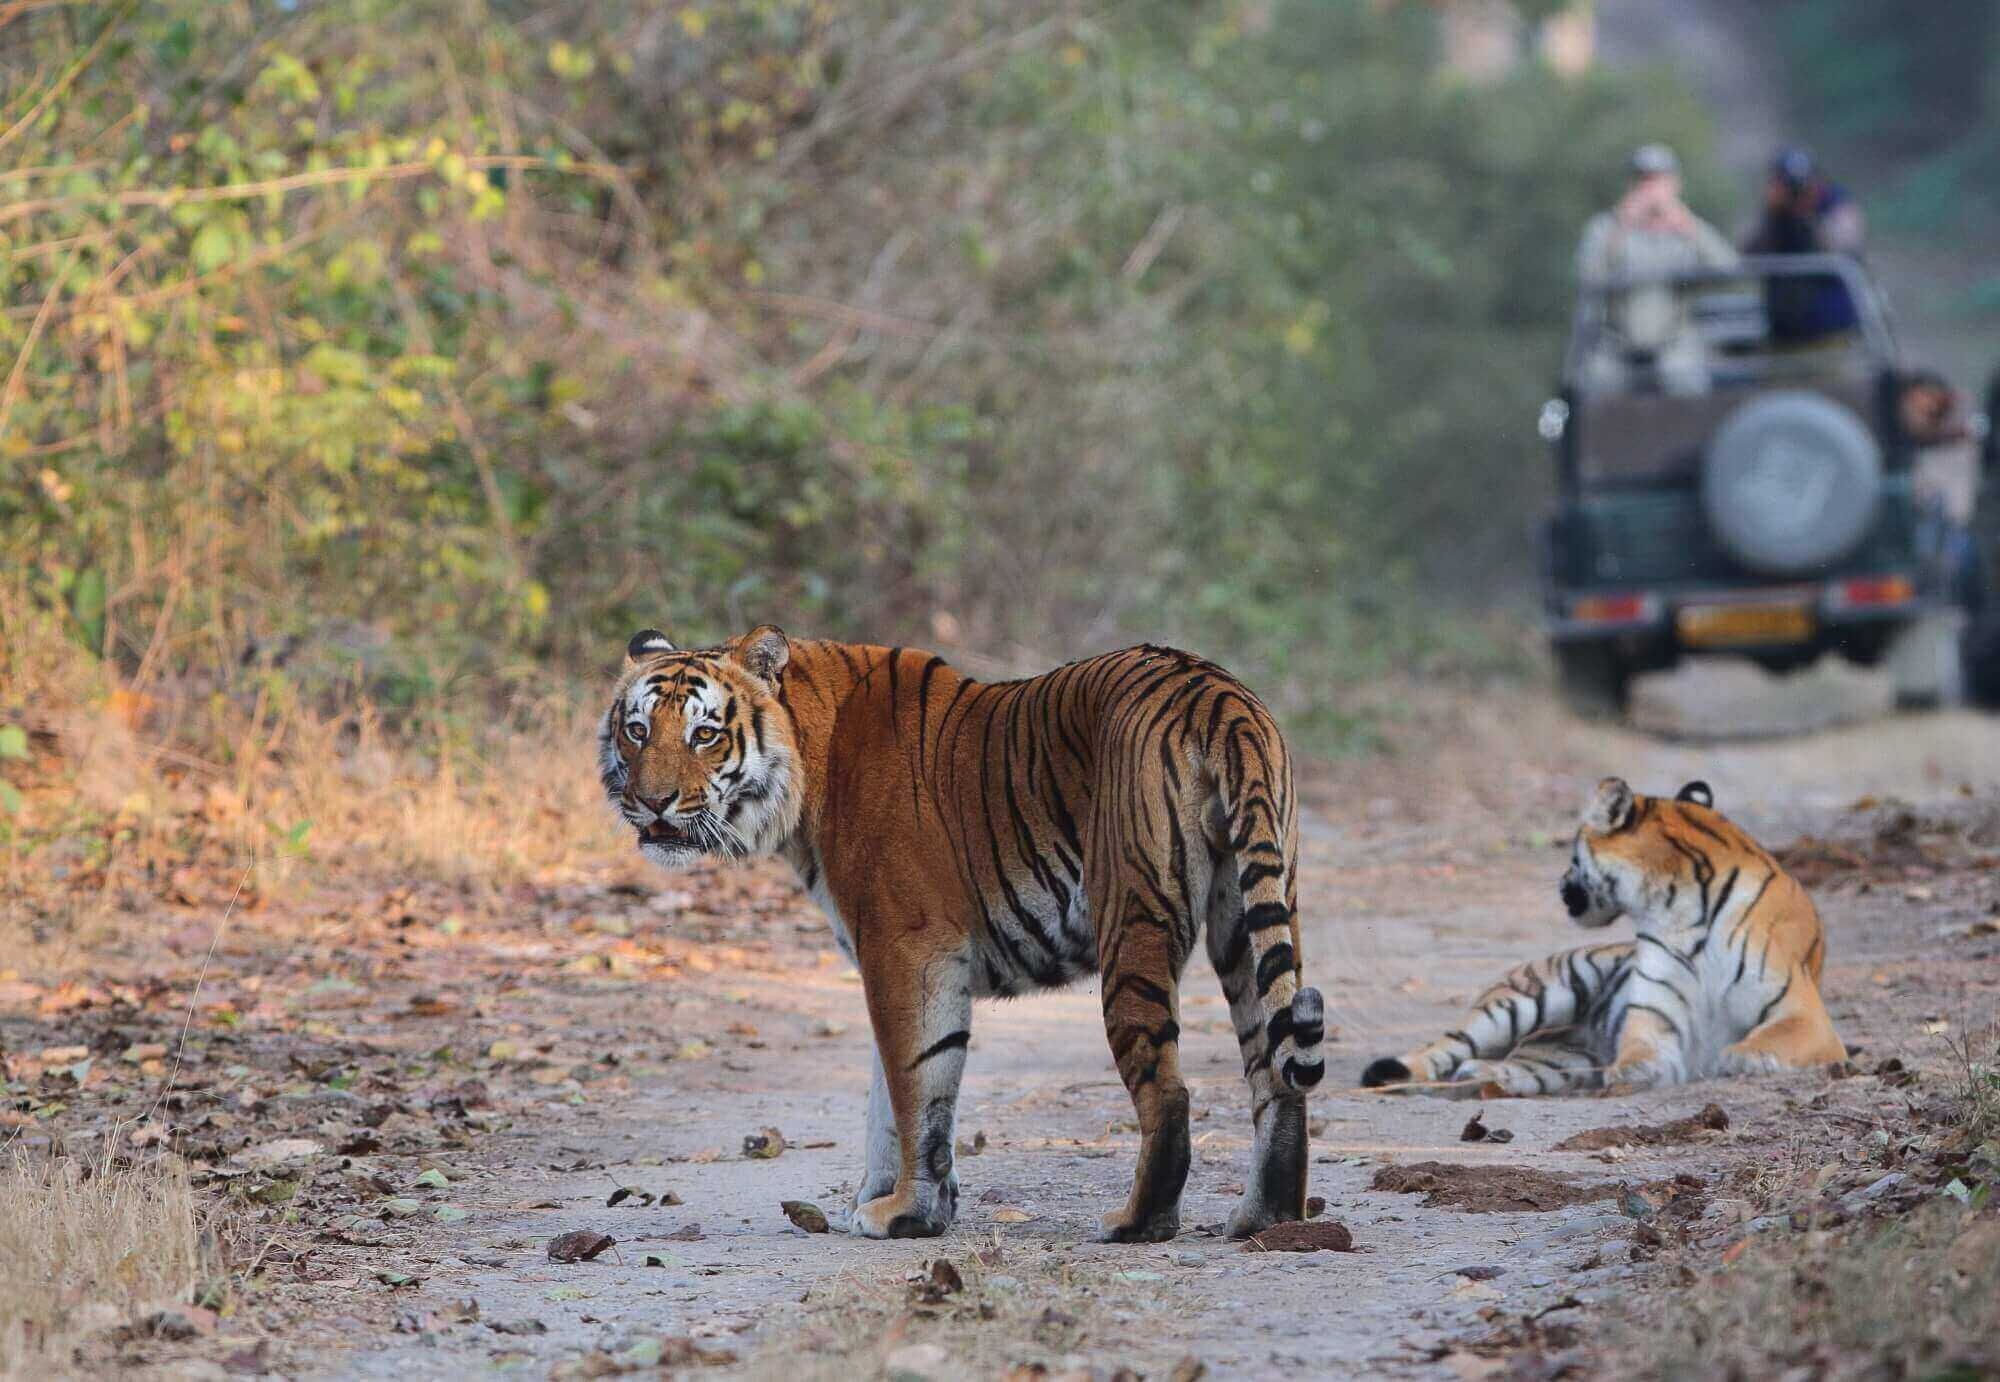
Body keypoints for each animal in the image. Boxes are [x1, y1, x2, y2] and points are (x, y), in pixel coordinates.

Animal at [600, 628, 1336, 1240]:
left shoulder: (905, 948)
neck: (811, 753)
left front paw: (906, 1213)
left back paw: (1137, 1222)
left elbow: (913, 1087)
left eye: (704, 735)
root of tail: (1216, 695)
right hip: (1247, 913)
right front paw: (880, 1201)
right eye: (636, 729)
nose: (652, 802)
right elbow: (890, 1093)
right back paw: (1265, 1217)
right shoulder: (892, 959)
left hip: (1133, 919)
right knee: (1275, 1072)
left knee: (1169, 1090)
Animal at [1360, 780, 1840, 1104]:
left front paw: (1743, 1057)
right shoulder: (1654, 1017)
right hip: (1524, 999)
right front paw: (1636, 1069)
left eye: (1572, 853)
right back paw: (1409, 1076)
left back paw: (1482, 1076)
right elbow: (1641, 1046)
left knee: (1505, 1066)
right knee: (1442, 1046)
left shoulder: (1804, 1013)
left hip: (1558, 1062)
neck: (1679, 907)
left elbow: (1775, 1035)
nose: (1559, 885)